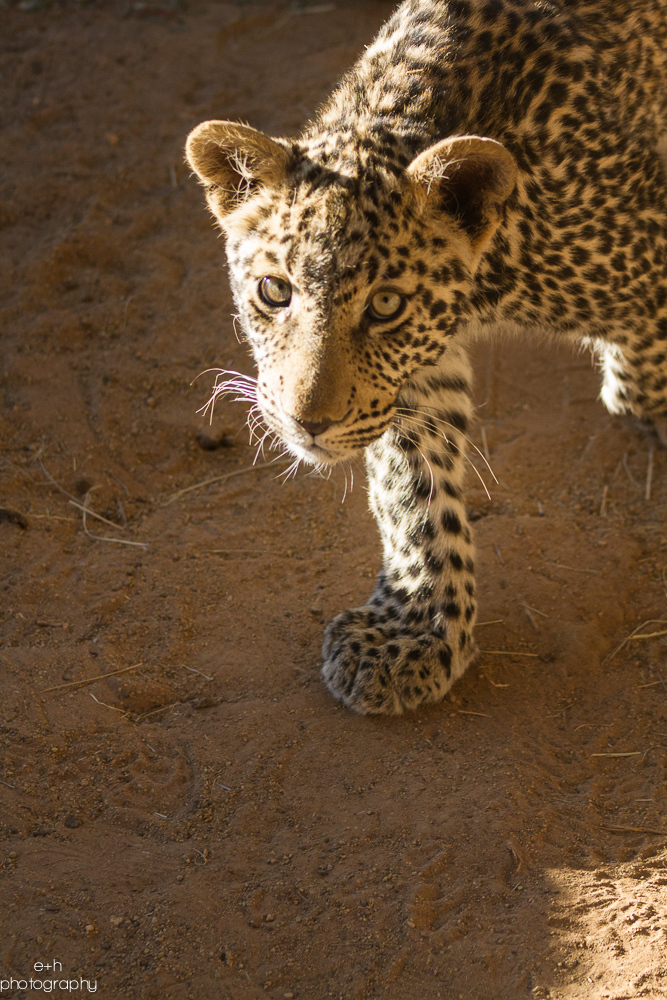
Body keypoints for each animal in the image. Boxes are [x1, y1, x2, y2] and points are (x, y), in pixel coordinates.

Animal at [185, 0, 667, 720]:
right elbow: (413, 491)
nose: (308, 424)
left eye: (385, 305)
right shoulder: (408, 383)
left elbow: (639, 372)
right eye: (274, 291)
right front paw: (412, 630)